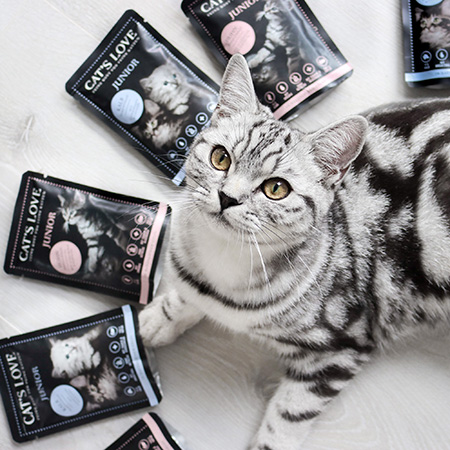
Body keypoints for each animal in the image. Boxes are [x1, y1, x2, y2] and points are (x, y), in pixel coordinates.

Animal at [138, 55, 450, 450]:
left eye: (276, 188)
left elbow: (287, 418)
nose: (228, 197)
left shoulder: (340, 348)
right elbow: (188, 296)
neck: (222, 267)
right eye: (220, 158)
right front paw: (161, 318)